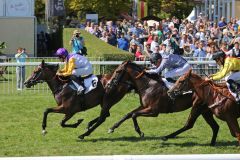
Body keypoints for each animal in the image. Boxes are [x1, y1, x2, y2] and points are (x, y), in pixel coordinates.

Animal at [78, 60, 219, 146]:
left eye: (117, 71)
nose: (109, 84)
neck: (148, 85)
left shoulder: (153, 111)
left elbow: (134, 115)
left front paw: (140, 132)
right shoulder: (144, 106)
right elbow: (128, 114)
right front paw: (112, 127)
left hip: (197, 107)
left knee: (189, 124)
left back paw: (167, 137)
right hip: (205, 110)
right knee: (215, 126)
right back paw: (212, 143)